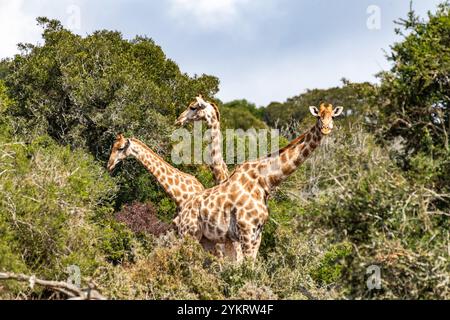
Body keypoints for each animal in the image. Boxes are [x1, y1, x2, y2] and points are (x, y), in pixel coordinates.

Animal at [174, 104, 342, 262]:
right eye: (318, 116)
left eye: (333, 116)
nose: (179, 119)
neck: (265, 181)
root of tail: (181, 213)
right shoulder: (246, 230)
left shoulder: (257, 233)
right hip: (189, 234)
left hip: (206, 240)